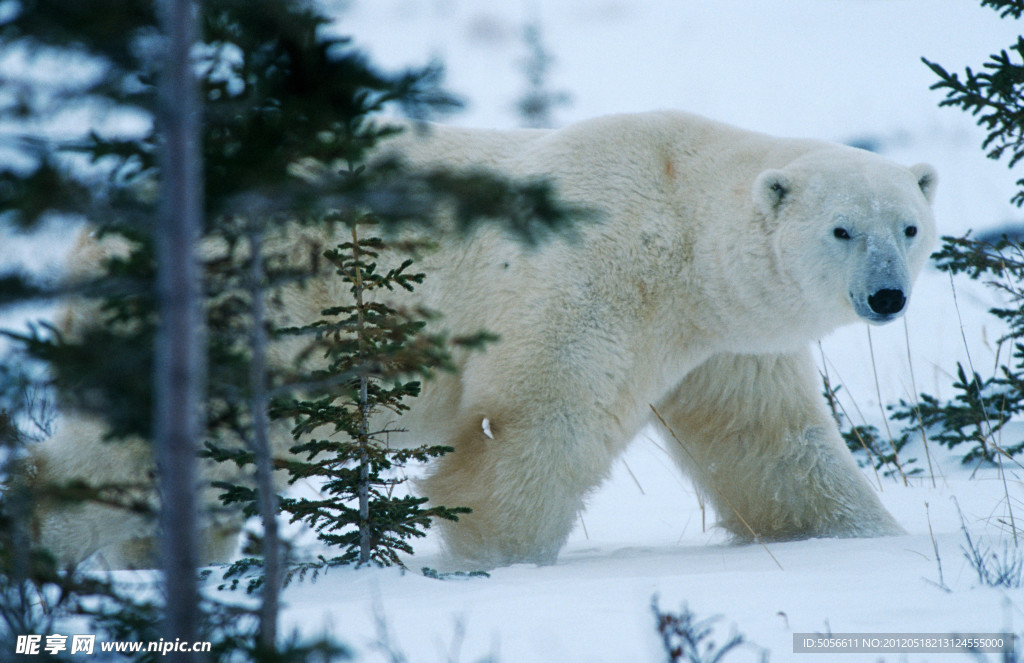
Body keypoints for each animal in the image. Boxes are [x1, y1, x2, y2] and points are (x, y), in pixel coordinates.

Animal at [24, 111, 937, 569]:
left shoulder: (724, 343)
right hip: (250, 315)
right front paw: (488, 561)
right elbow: (533, 426)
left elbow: (771, 442)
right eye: (842, 229)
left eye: (910, 225)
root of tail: (94, 236)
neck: (677, 218)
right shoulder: (591, 282)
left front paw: (866, 541)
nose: (887, 295)